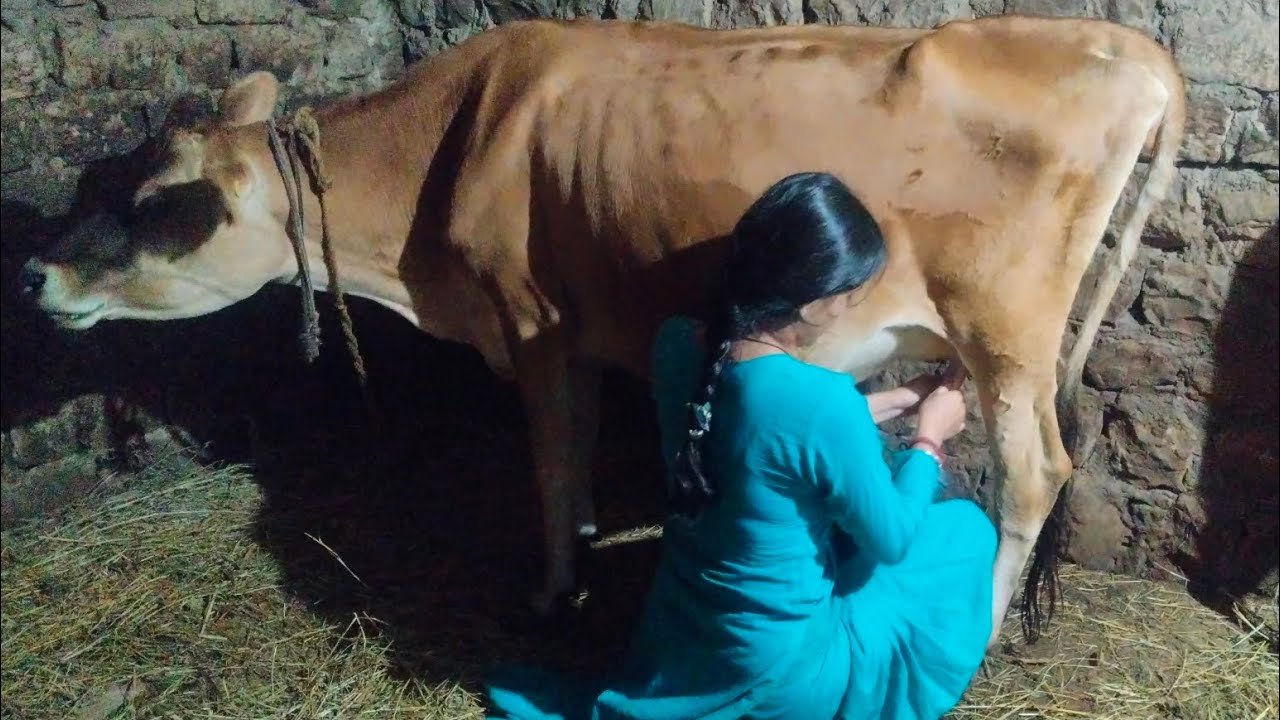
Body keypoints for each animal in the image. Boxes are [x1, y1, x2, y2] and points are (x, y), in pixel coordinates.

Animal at [19, 15, 1185, 648]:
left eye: (164, 200)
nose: (37, 271)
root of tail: (1122, 44)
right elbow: (573, 454)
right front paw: (579, 551)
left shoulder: (531, 321)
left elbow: (552, 457)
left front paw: (553, 587)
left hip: (1005, 330)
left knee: (1033, 472)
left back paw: (978, 635)